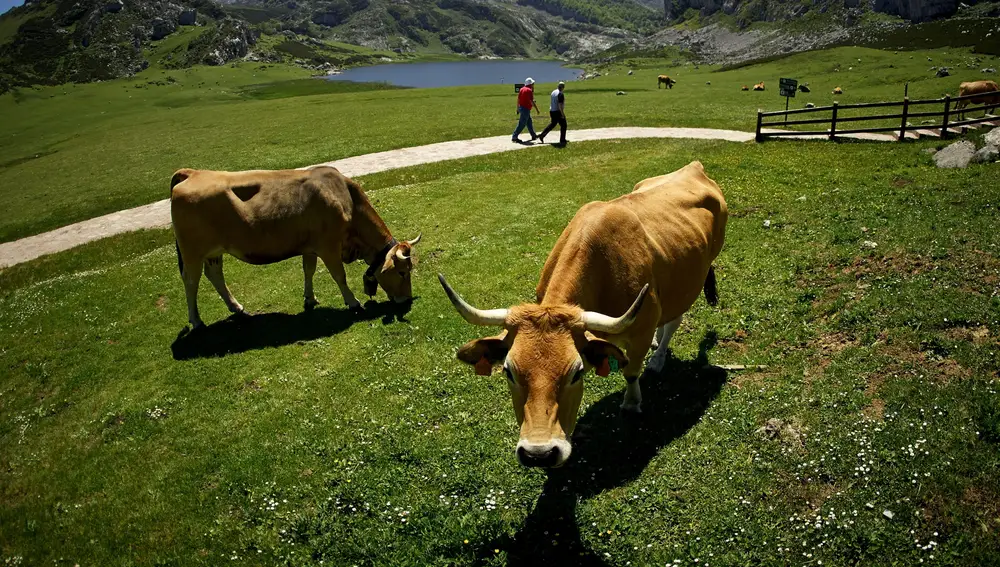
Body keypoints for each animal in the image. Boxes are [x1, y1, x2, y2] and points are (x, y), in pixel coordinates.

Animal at [170, 166, 421, 329]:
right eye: (402, 272)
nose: (407, 299)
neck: (346, 198)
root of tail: (192, 173)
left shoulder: (310, 247)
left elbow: (308, 270)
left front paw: (310, 298)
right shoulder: (329, 246)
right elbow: (339, 276)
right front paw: (353, 302)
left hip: (214, 252)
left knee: (215, 275)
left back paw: (237, 308)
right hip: (192, 253)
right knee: (191, 281)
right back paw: (196, 320)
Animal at [439, 161, 727, 468]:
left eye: (577, 373)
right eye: (508, 371)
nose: (539, 453)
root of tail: (693, 167)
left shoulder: (642, 326)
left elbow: (631, 371)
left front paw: (631, 403)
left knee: (673, 321)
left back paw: (658, 357)